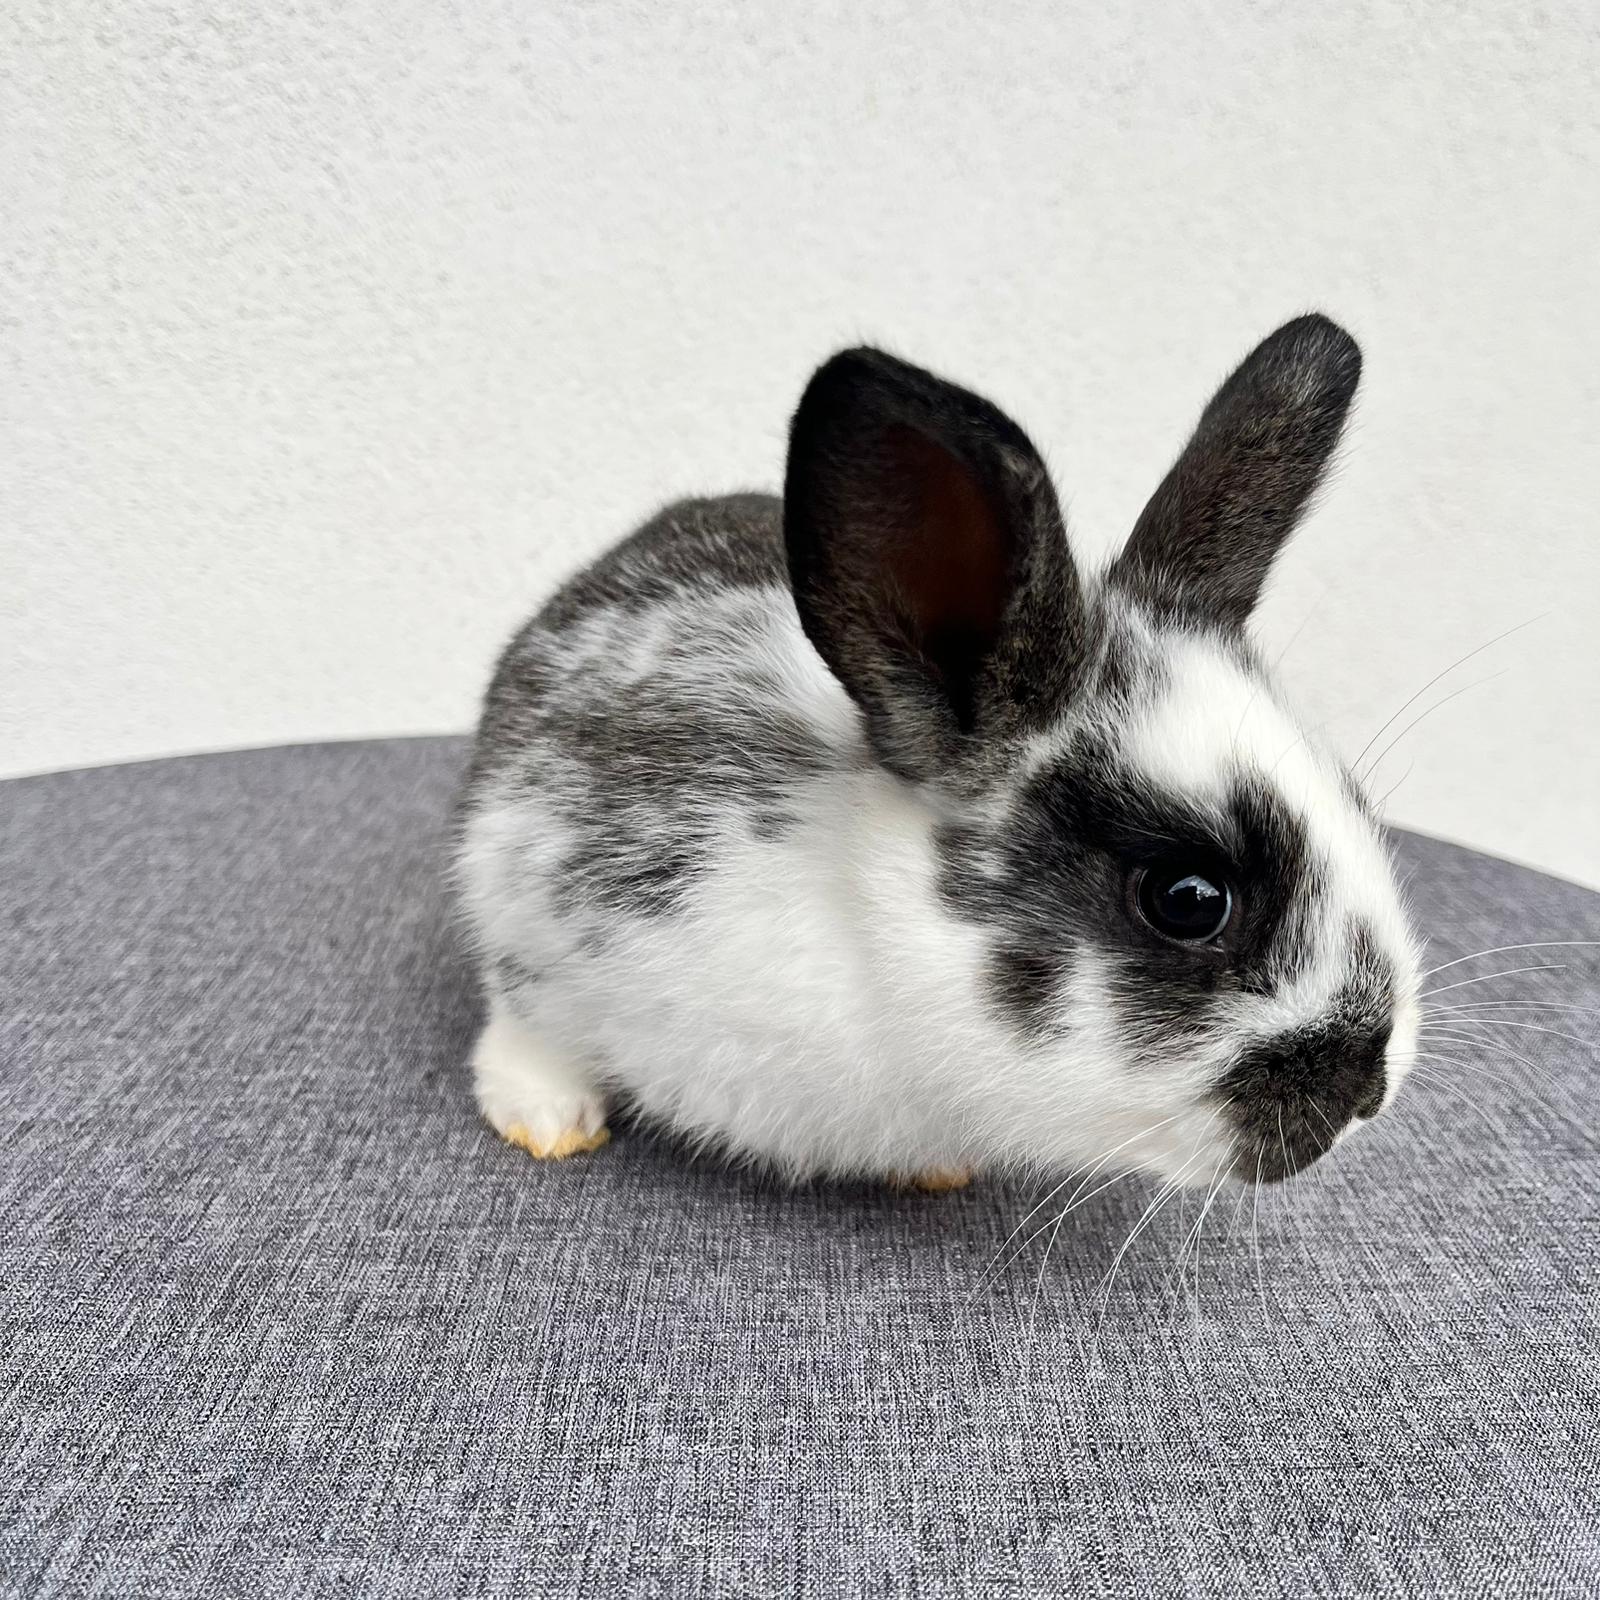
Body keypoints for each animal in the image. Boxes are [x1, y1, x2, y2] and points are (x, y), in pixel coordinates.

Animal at [453, 314, 1421, 1191]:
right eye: (1187, 900)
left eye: (1357, 803)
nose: (1369, 1089)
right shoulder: (535, 907)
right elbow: (527, 1021)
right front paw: (546, 1120)